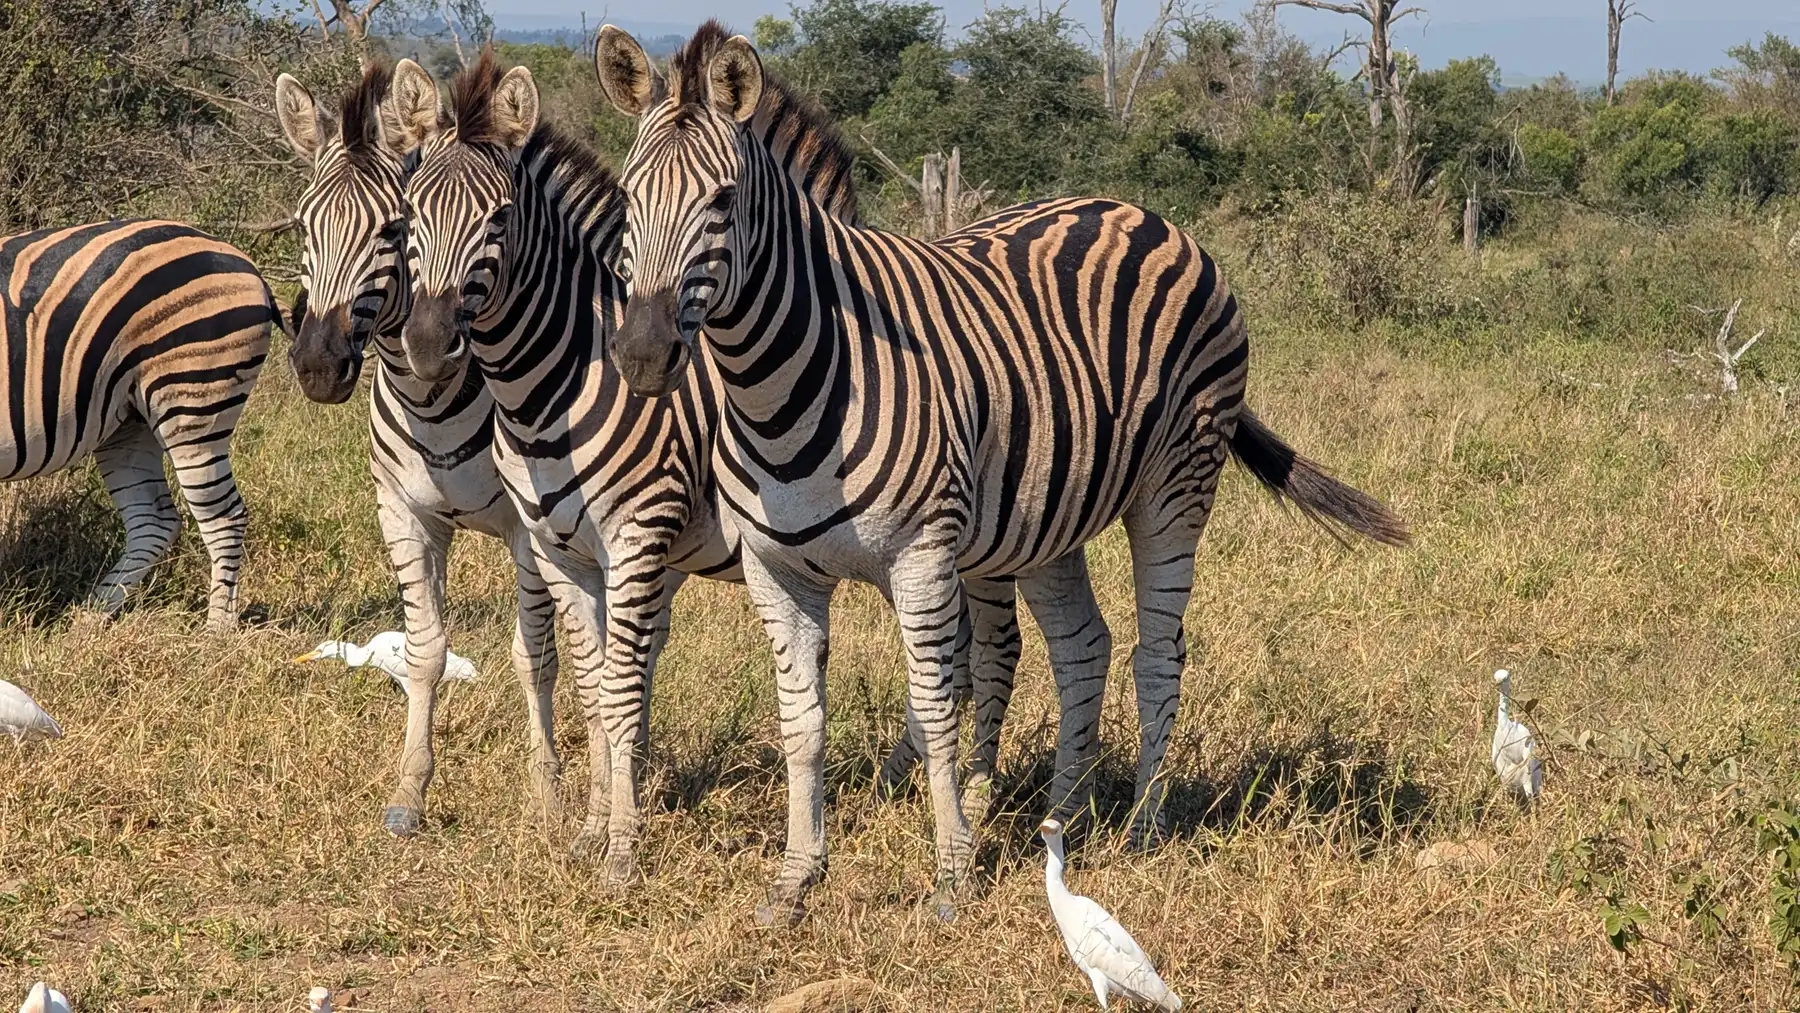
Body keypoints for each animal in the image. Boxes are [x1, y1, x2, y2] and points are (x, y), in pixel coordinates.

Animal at [0, 219, 274, 630]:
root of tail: (242, 259)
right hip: (129, 424)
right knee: (155, 520)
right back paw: (90, 616)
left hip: (193, 404)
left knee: (226, 518)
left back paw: (216, 631)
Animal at [274, 64, 561, 836]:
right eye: (304, 226)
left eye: (391, 228)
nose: (317, 365)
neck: (431, 398)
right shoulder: (404, 514)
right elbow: (425, 652)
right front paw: (411, 791)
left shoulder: (526, 528)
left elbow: (533, 655)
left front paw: (545, 788)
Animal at [593, 21, 1410, 925]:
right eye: (627, 201)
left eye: (723, 201)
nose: (641, 355)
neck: (780, 383)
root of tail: (1148, 215)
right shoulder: (778, 570)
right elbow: (801, 723)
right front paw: (795, 879)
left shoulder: (921, 557)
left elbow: (937, 702)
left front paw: (952, 875)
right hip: (1048, 512)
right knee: (1085, 645)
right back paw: (1066, 813)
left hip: (1176, 486)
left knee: (1158, 651)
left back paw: (1144, 826)